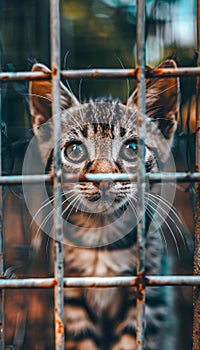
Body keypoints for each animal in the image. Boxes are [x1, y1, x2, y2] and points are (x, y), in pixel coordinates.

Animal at [29, 60, 180, 350]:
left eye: (132, 148)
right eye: (75, 150)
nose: (104, 177)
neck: (102, 233)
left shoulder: (149, 294)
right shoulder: (70, 297)